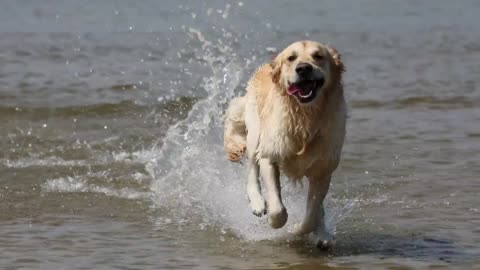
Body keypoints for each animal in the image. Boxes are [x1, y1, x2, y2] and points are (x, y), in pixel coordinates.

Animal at [224, 40, 344, 249]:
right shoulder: (270, 155)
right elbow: (277, 207)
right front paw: (276, 222)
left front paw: (302, 230)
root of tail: (265, 66)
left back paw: (323, 233)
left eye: (318, 56)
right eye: (291, 58)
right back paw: (257, 202)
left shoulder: (323, 169)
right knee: (251, 169)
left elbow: (312, 212)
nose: (303, 68)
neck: (304, 118)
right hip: (255, 131)